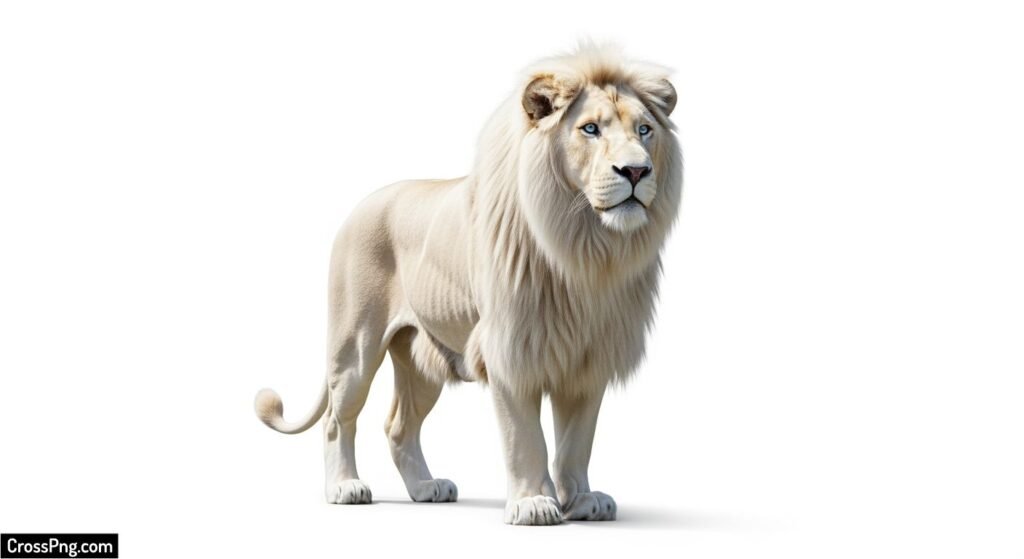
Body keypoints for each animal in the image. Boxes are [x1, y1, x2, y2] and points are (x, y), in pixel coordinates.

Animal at [254, 44, 682, 525]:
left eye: (644, 130)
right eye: (590, 128)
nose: (636, 171)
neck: (586, 250)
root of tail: (362, 204)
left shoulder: (588, 359)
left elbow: (577, 442)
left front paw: (582, 500)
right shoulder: (511, 350)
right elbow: (525, 437)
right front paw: (534, 503)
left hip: (419, 358)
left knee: (398, 426)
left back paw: (426, 488)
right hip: (355, 348)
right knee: (337, 419)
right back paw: (345, 487)